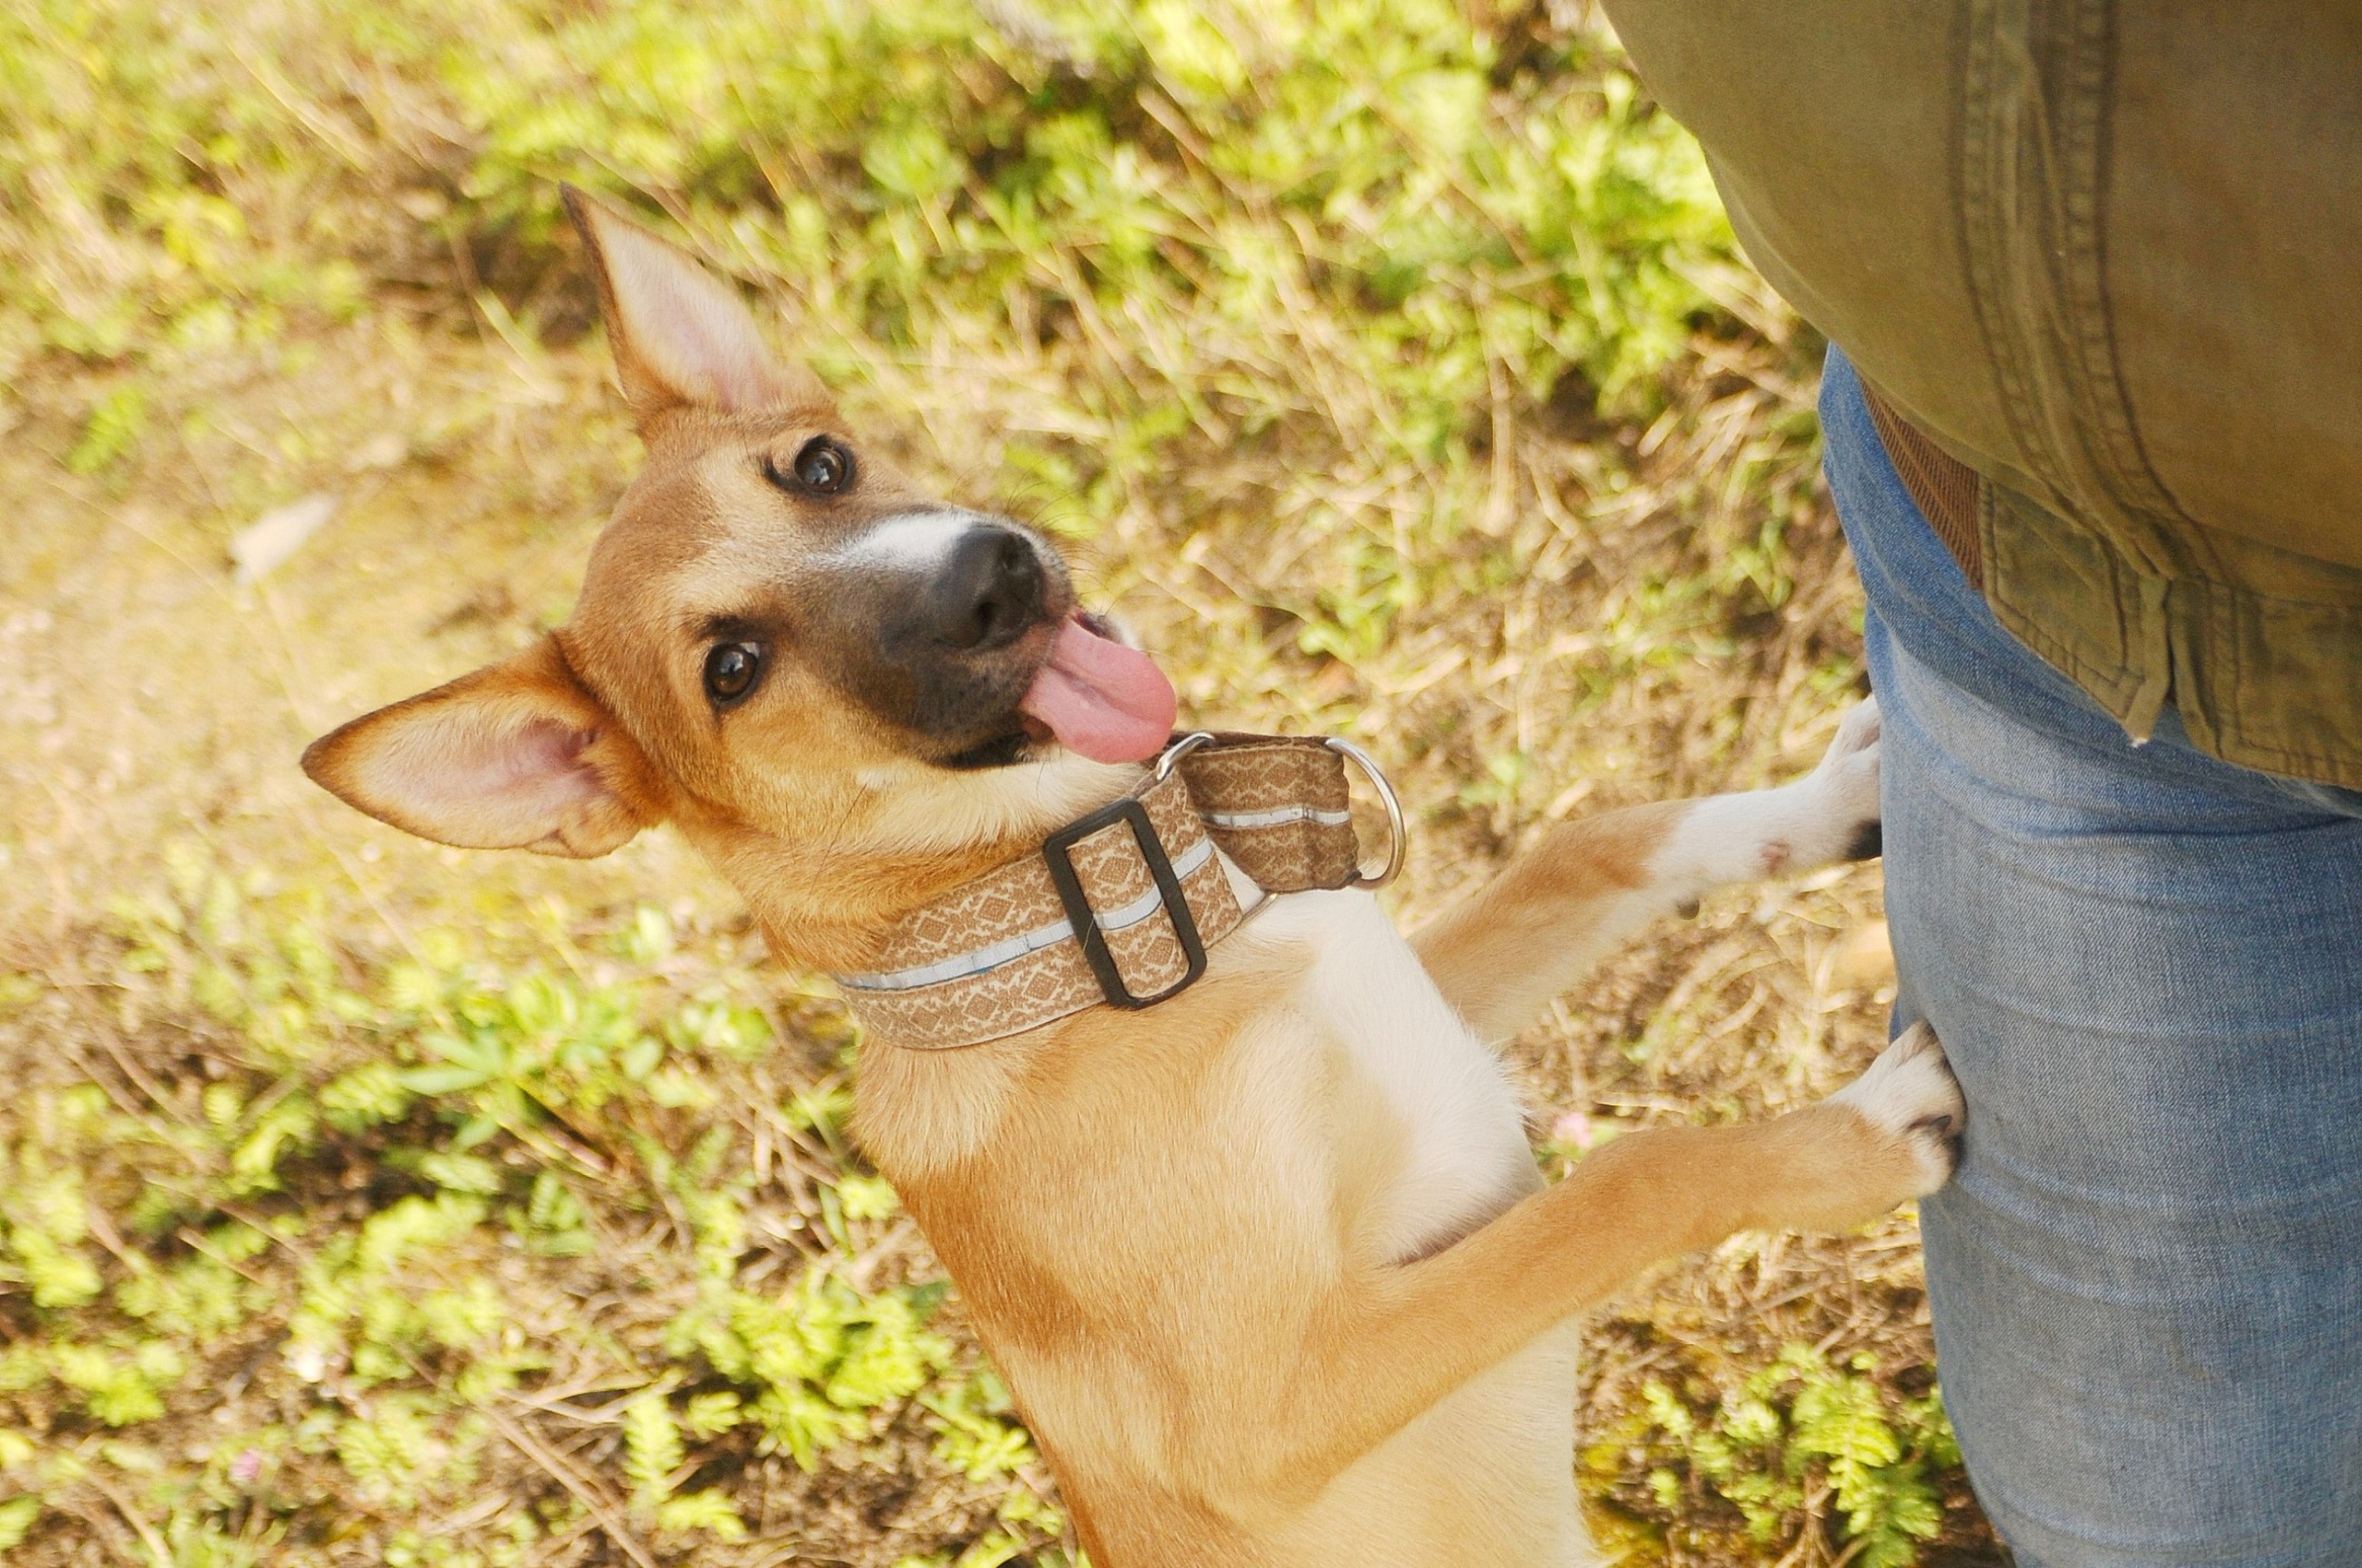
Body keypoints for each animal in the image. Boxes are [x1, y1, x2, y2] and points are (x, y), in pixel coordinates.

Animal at [302, 191, 1963, 1568]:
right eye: (730, 668)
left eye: (818, 464)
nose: (993, 575)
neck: (1113, 910)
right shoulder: (1277, 1402)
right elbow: (1633, 1175)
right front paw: (1856, 1136)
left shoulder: (1426, 998)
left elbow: (1594, 838)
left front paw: (1821, 799)